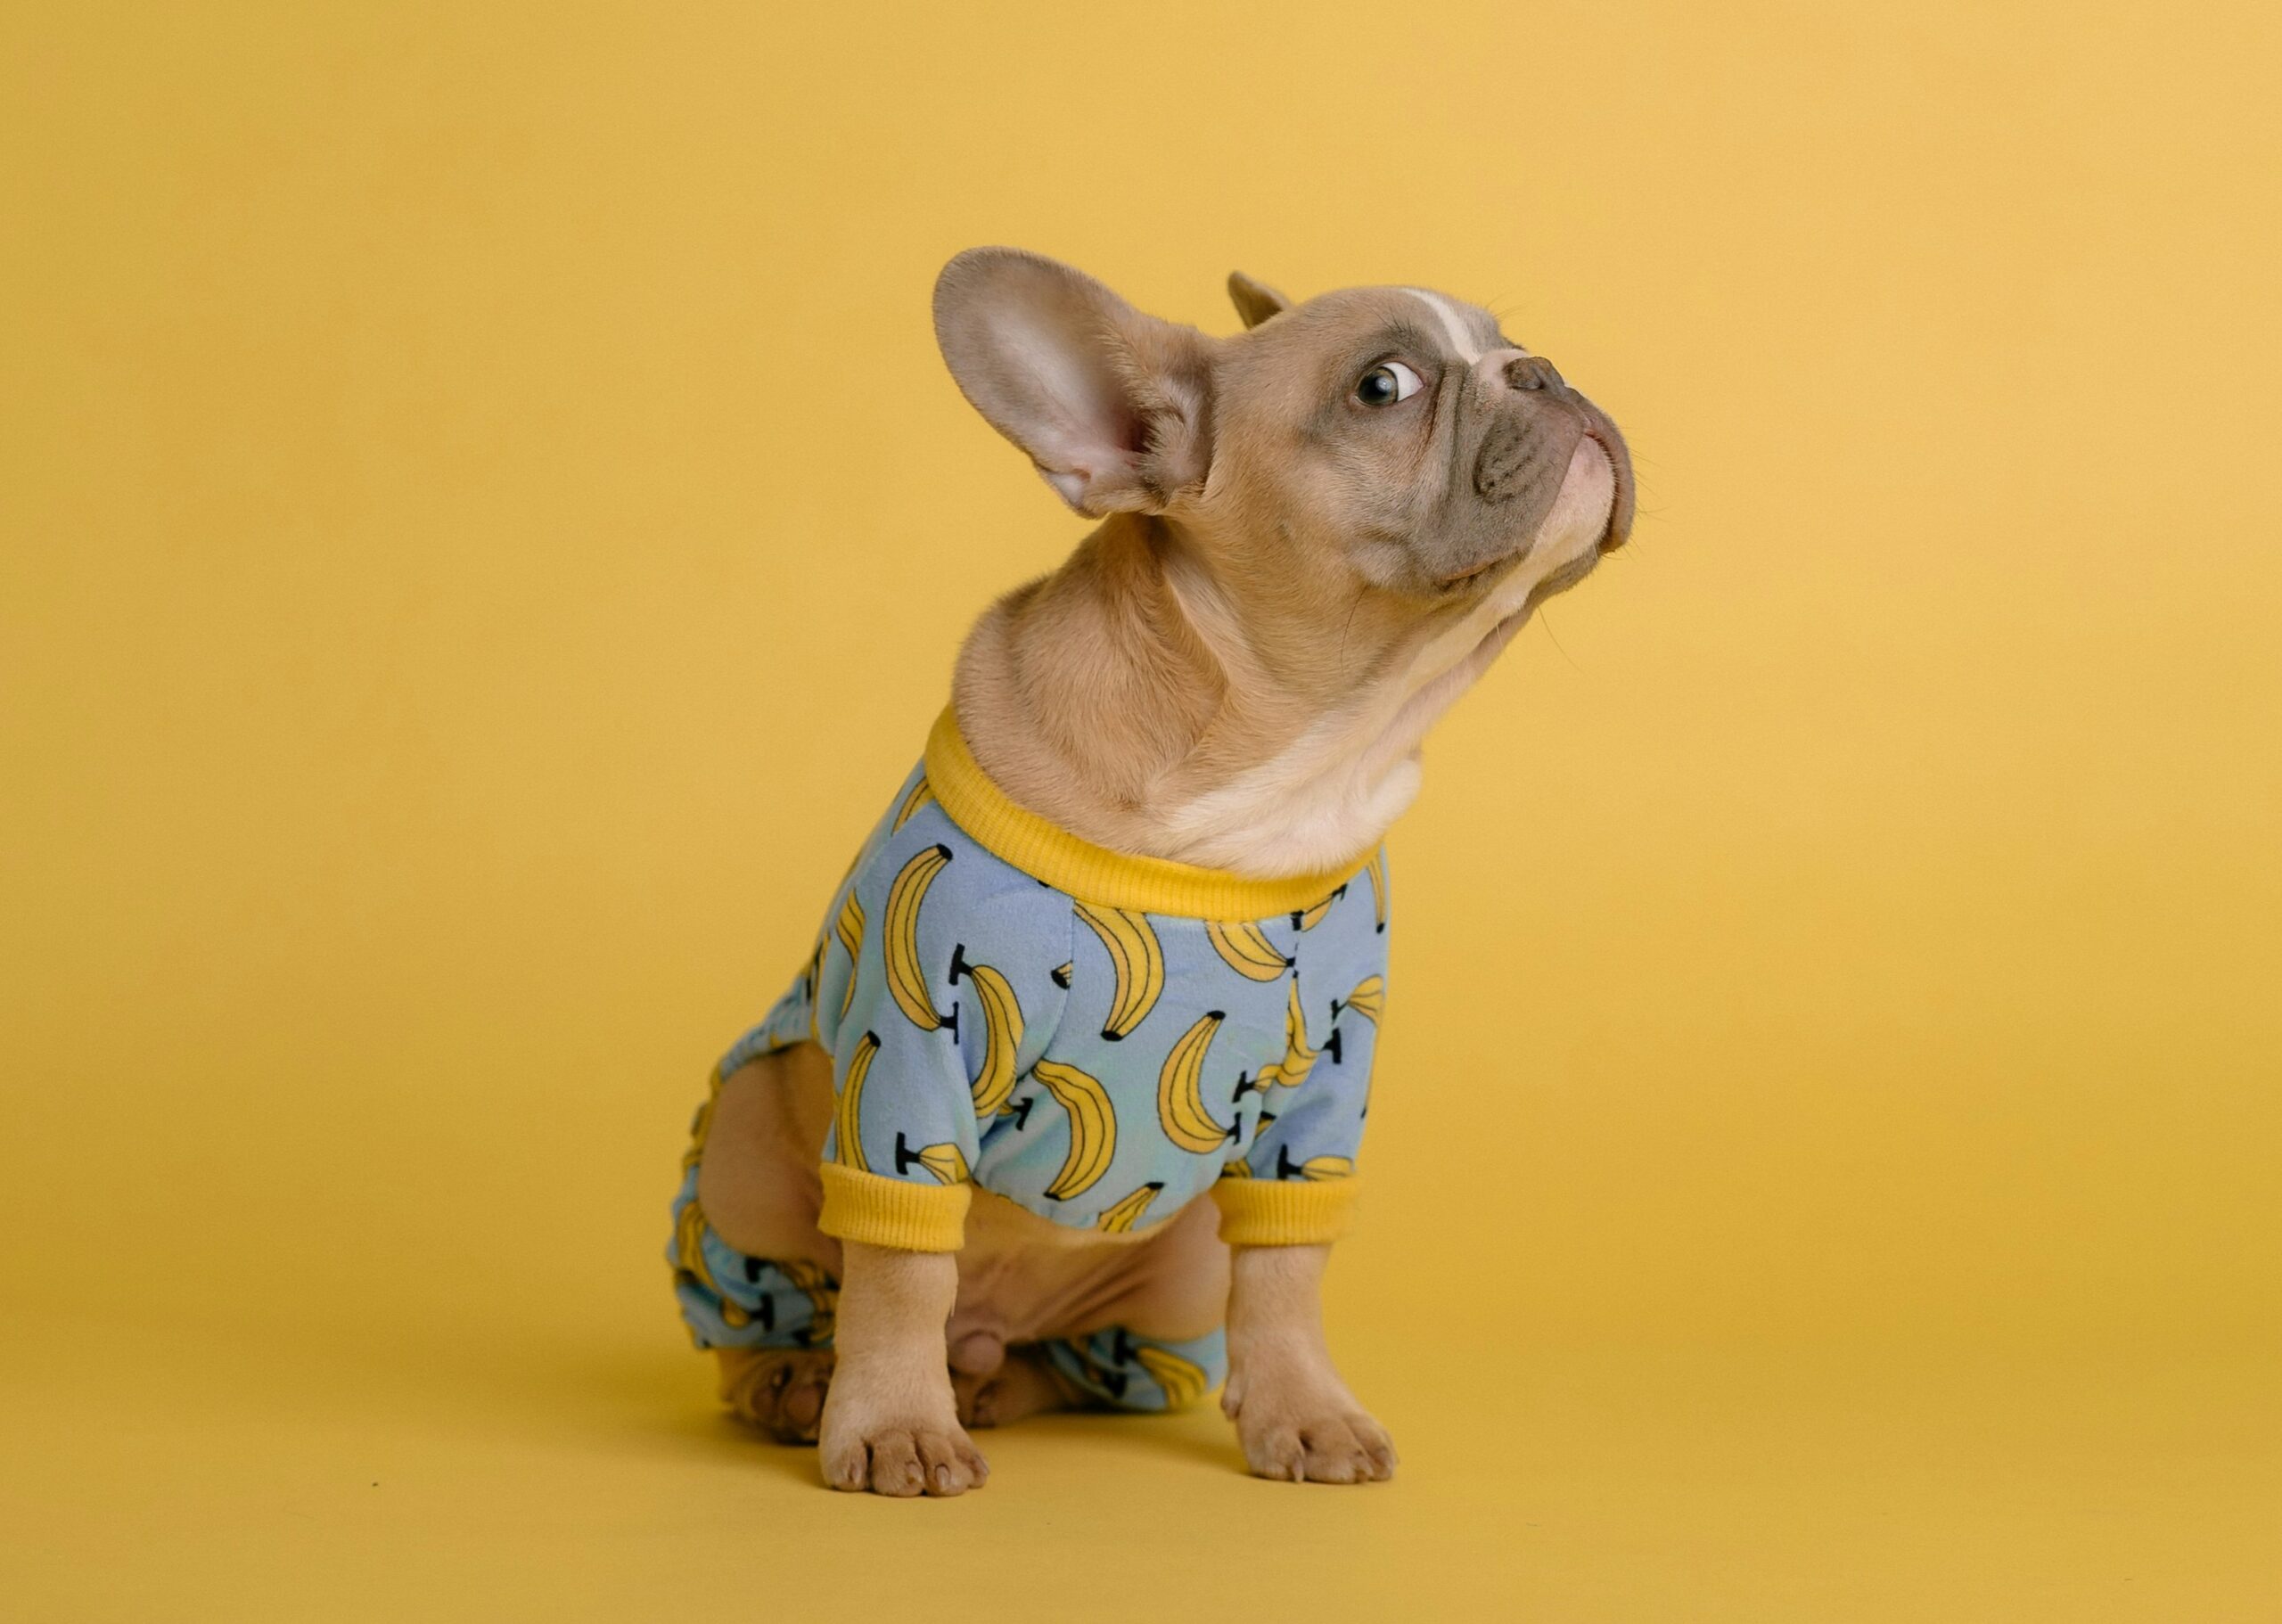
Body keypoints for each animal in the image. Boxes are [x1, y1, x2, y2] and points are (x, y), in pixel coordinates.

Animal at [685, 247, 1633, 1487]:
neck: (1274, 768)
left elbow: (1287, 1270)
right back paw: (802, 1384)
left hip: (1177, 1274)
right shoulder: (916, 1038)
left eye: (1508, 341)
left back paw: (991, 1382)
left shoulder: (1321, 1094)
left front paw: (1306, 1411)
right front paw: (893, 1425)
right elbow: (899, 1265)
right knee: (793, 1318)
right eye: (1382, 387)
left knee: (1082, 1363)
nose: (1545, 368)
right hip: (744, 1144)